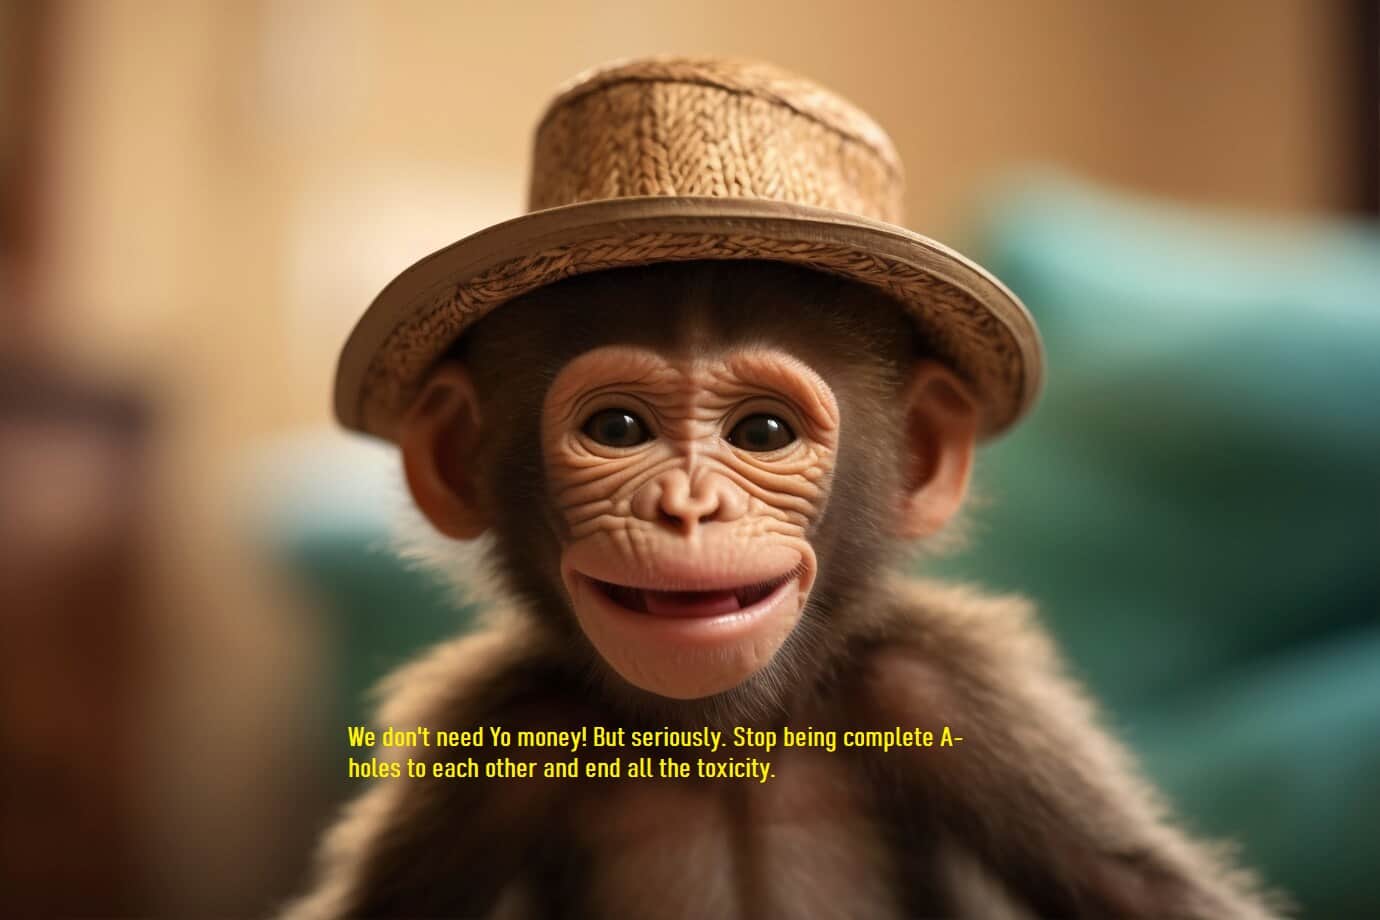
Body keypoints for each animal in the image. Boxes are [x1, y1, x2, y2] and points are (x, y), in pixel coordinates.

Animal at [282, 259, 1284, 919]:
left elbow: (1142, 890)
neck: (730, 741)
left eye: (762, 432)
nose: (688, 507)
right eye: (618, 429)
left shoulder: (949, 691)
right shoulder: (494, 736)